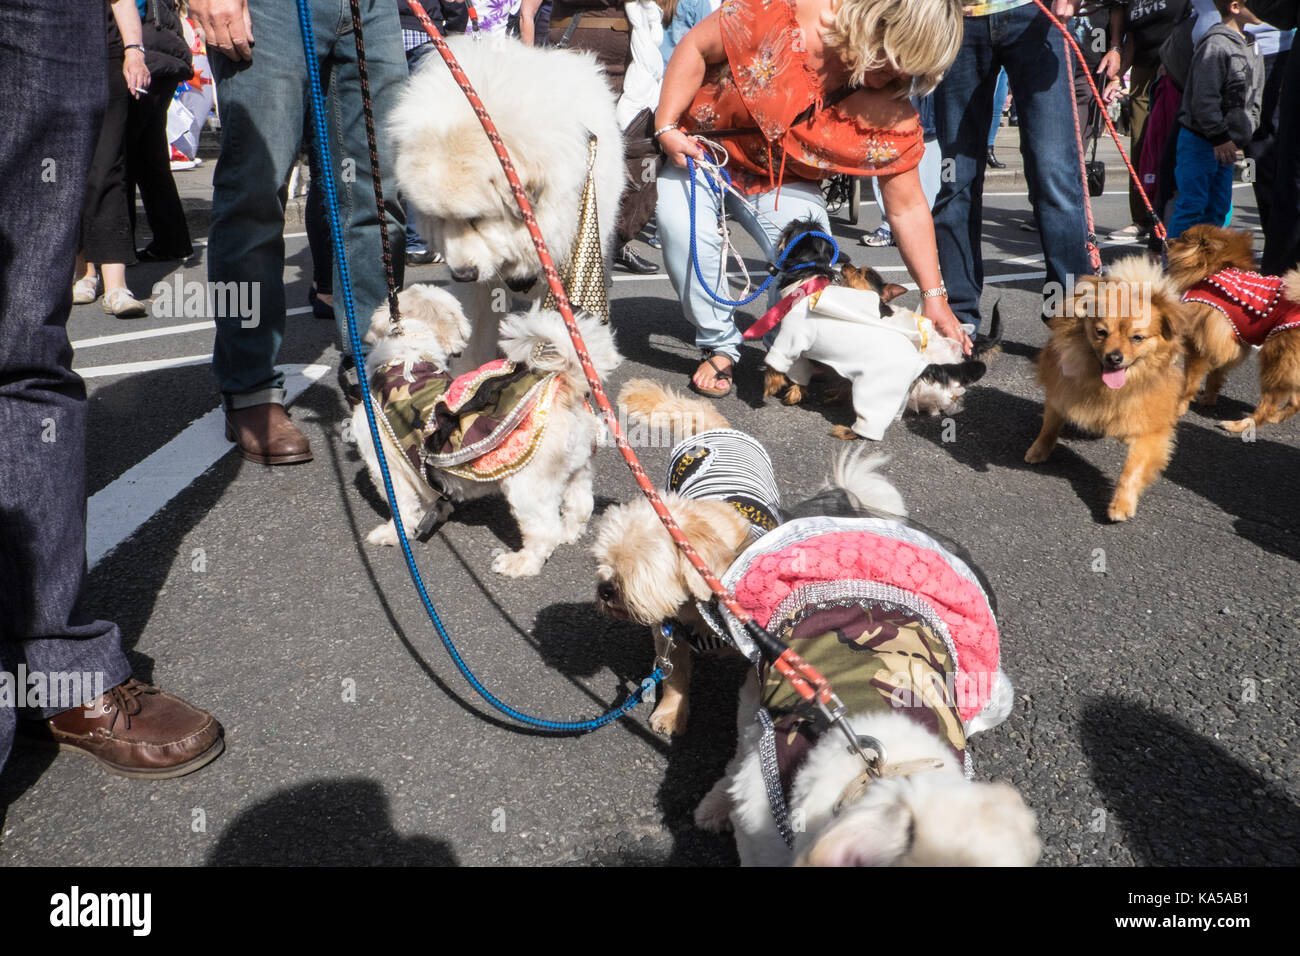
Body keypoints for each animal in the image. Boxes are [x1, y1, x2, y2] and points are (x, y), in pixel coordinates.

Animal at [353, 286, 621, 574]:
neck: (409, 357)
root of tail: (563, 388)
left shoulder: (385, 466)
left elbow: (402, 507)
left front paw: (392, 534)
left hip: (528, 486)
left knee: (545, 531)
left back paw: (520, 563)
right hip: (578, 469)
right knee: (580, 507)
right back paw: (568, 534)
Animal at [1024, 254, 1190, 522]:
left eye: (1137, 338)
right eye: (1101, 332)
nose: (1114, 357)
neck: (1105, 388)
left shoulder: (1150, 430)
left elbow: (1133, 469)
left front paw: (1121, 504)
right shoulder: (1060, 395)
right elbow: (1049, 427)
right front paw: (1038, 450)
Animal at [1164, 222, 1300, 431]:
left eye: (1183, 237)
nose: (1167, 240)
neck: (1213, 269)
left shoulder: (1199, 342)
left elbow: (1190, 381)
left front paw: (1179, 407)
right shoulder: (1224, 342)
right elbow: (1215, 375)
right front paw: (1207, 399)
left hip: (1277, 359)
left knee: (1268, 405)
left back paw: (1238, 425)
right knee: (1295, 402)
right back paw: (1276, 418)